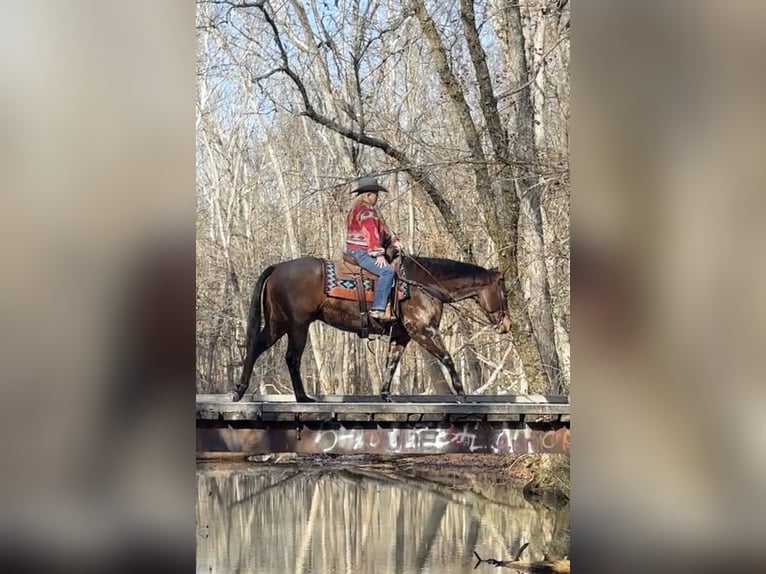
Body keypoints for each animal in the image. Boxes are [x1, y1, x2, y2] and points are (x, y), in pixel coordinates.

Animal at [230, 253, 511, 402]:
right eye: (505, 292)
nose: (507, 324)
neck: (422, 285)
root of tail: (278, 267)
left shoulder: (402, 335)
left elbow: (391, 363)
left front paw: (386, 394)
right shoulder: (423, 330)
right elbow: (447, 358)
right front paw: (462, 394)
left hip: (280, 323)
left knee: (261, 348)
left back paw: (245, 390)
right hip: (296, 325)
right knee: (289, 357)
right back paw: (294, 396)